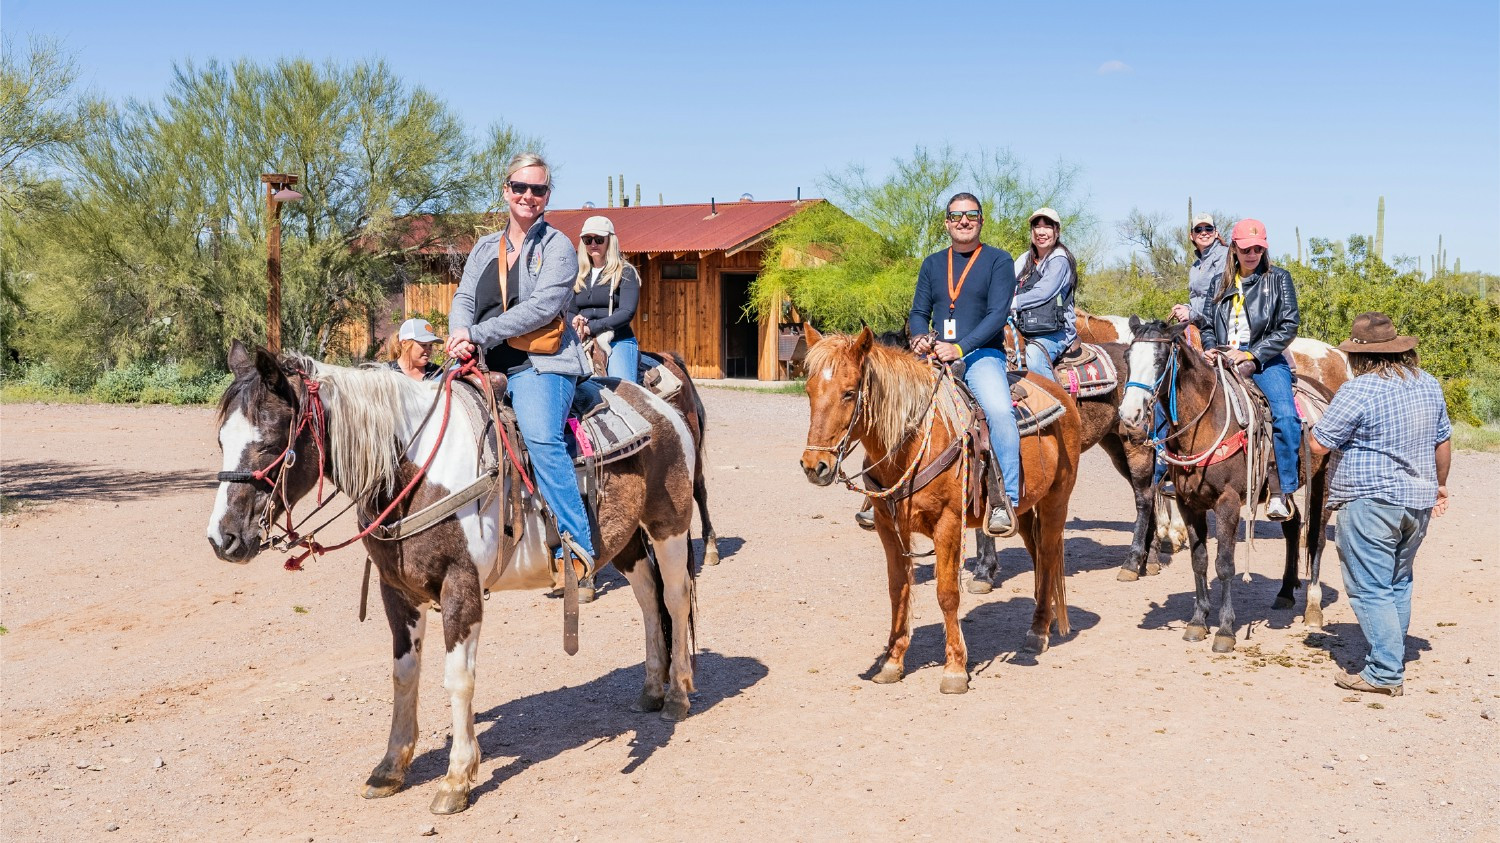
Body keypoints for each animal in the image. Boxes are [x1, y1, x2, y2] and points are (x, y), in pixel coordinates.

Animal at [207, 342, 702, 816]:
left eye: (271, 443)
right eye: (220, 441)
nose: (221, 539)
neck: (415, 471)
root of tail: (660, 406)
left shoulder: (460, 588)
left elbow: (458, 679)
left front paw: (457, 779)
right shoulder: (396, 591)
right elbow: (403, 674)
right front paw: (390, 768)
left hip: (669, 525)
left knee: (675, 599)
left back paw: (678, 694)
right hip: (624, 541)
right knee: (648, 599)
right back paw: (651, 689)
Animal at [804, 322, 1086, 690]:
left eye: (849, 393)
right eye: (809, 390)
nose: (815, 466)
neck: (913, 445)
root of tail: (1057, 390)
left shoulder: (948, 524)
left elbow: (947, 593)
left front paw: (954, 669)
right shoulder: (888, 527)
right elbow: (899, 589)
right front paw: (892, 662)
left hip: (1056, 500)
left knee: (1050, 556)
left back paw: (1038, 631)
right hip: (1023, 510)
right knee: (1039, 556)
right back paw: (1046, 619)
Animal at [1116, 316, 1338, 651]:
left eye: (1159, 360)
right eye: (1128, 358)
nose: (1129, 415)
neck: (1205, 422)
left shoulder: (1228, 502)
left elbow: (1224, 564)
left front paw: (1225, 629)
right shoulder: (1189, 503)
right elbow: (1199, 560)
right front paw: (1198, 621)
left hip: (1323, 482)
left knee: (1315, 537)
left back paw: (1313, 608)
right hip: (1282, 490)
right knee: (1291, 524)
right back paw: (1285, 592)